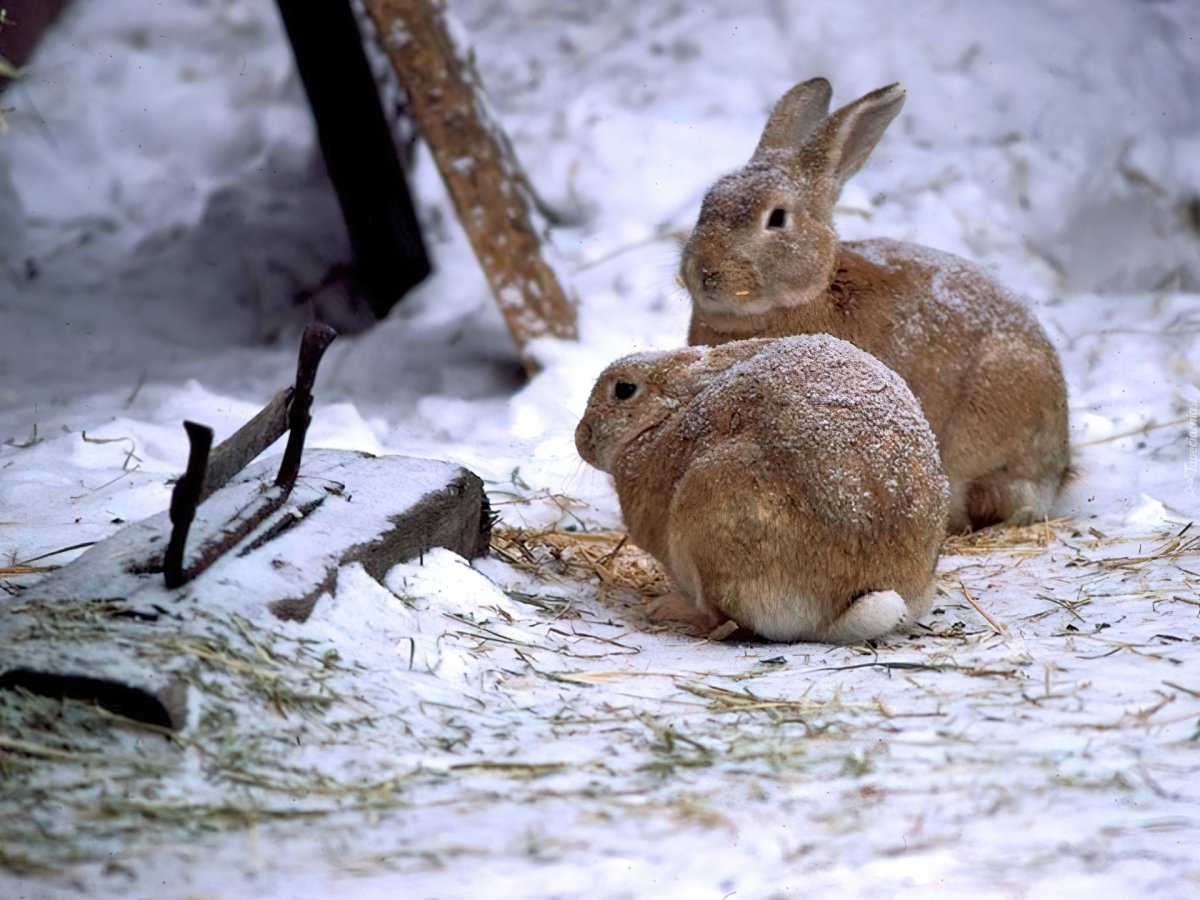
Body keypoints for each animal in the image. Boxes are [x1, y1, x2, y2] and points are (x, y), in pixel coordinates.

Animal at [574, 334, 950, 644]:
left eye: (623, 389)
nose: (581, 438)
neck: (663, 421)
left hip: (711, 518)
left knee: (729, 622)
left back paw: (669, 610)